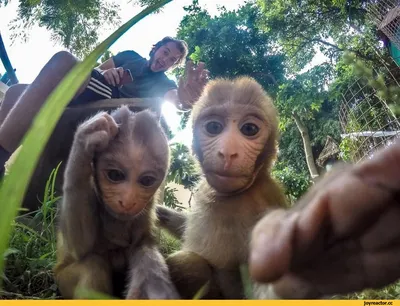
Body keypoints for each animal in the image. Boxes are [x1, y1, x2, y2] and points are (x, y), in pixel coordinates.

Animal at [54, 106, 179, 300]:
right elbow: (79, 248)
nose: (127, 201)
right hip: (62, 279)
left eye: (147, 180)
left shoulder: (147, 209)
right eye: (115, 175)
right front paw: (83, 143)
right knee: (92, 265)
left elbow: (142, 246)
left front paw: (154, 285)